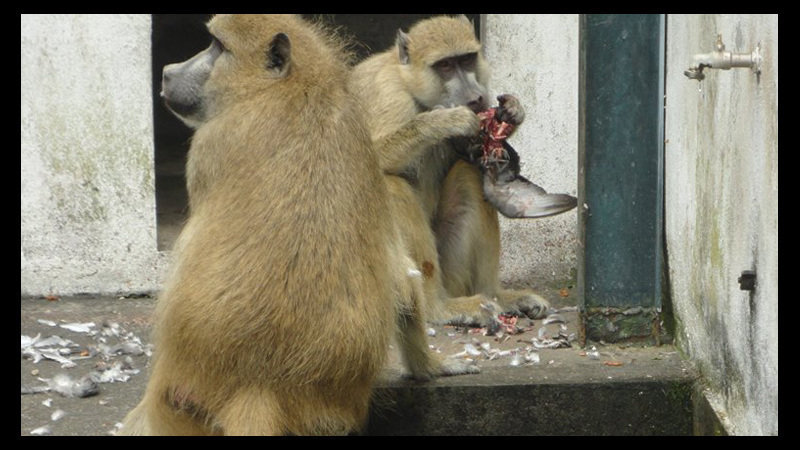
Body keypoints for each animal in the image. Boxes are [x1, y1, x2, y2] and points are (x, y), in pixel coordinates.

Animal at [119, 14, 474, 436]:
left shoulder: (209, 143)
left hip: (178, 397)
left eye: (217, 47)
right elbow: (401, 274)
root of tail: (261, 384)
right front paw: (430, 368)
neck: (294, 86)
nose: (169, 73)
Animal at [348, 15, 551, 327]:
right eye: (445, 66)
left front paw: (511, 115)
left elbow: (473, 156)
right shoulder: (389, 98)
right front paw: (444, 122)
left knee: (468, 177)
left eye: (466, 60)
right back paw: (438, 308)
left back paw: (494, 295)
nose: (476, 97)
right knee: (391, 185)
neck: (410, 85)